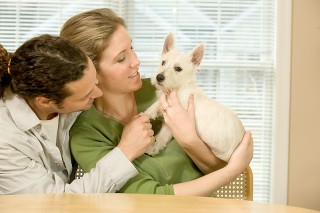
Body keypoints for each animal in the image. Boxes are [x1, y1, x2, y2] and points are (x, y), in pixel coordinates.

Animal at [145, 32, 245, 161]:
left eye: (178, 68)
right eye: (163, 62)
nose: (159, 77)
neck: (180, 87)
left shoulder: (173, 119)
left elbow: (162, 133)